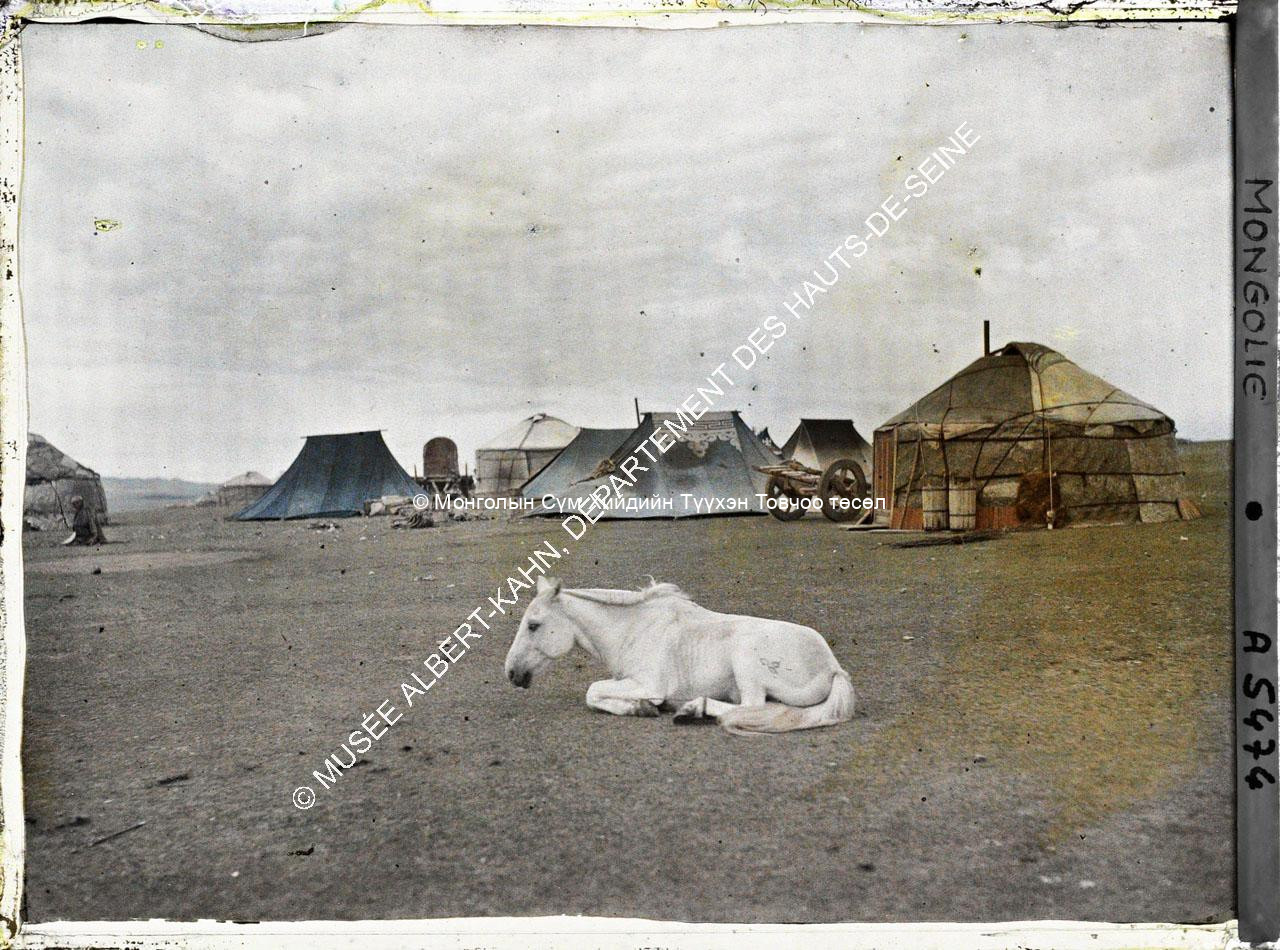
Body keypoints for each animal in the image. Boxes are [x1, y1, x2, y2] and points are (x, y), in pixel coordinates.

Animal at [503, 576, 855, 735]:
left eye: (533, 625)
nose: (511, 673)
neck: (633, 628)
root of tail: (833, 668)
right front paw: (641, 708)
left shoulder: (648, 684)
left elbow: (592, 692)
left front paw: (642, 708)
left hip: (746, 656)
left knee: (752, 705)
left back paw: (692, 709)